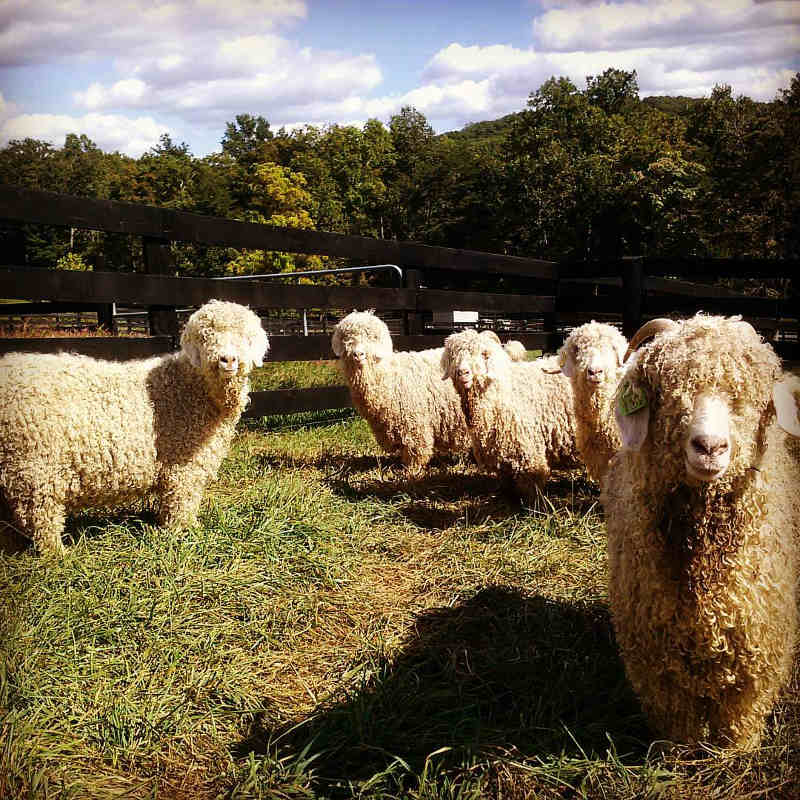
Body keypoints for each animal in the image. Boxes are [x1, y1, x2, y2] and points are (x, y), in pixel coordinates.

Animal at [0, 300, 269, 554]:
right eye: (205, 336)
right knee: (40, 515)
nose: (228, 359)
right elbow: (182, 504)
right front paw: (185, 535)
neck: (188, 387)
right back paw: (57, 554)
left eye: (245, 336)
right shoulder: (184, 468)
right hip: (34, 466)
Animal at [331, 310, 471, 472]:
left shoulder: (414, 424)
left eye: (373, 337)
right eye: (347, 337)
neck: (390, 376)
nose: (358, 354)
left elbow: (415, 452)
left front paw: (412, 472)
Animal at [441, 328, 580, 499]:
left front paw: (531, 503)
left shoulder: (528, 448)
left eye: (484, 354)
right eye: (453, 355)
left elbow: (531, 482)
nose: (463, 372)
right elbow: (506, 478)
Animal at [601, 314, 799, 748]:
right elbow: (677, 716)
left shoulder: (758, 643)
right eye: (668, 391)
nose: (709, 447)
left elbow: (742, 712)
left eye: (751, 398)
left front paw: (735, 752)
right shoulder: (655, 653)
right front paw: (682, 751)